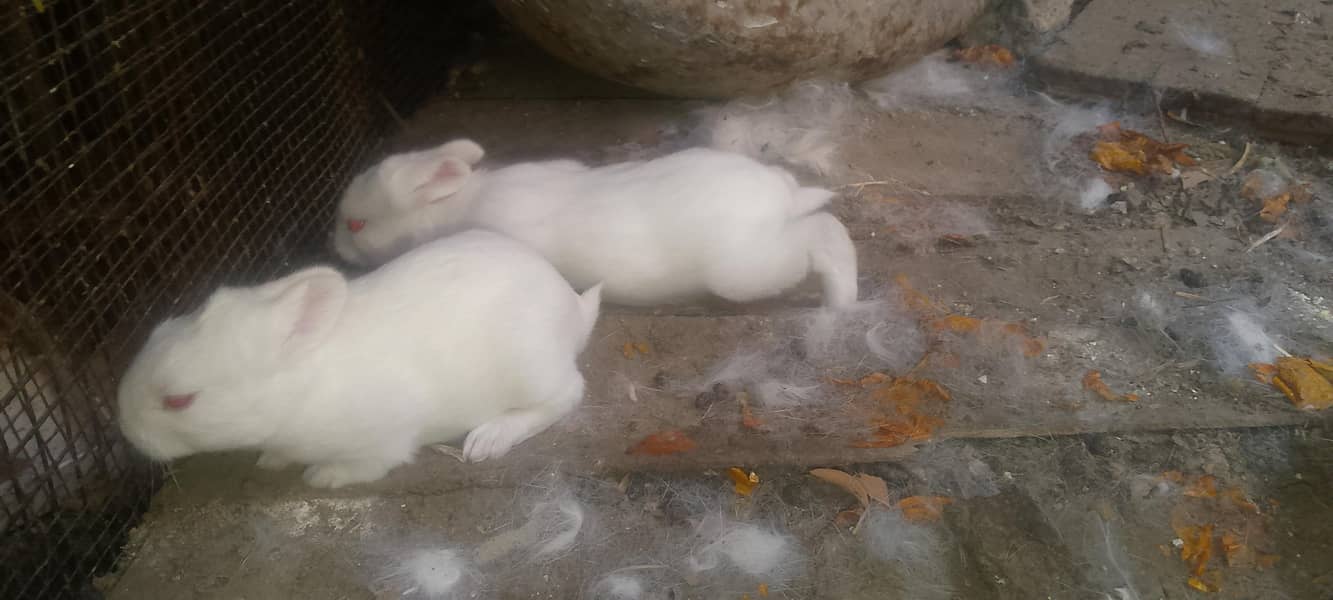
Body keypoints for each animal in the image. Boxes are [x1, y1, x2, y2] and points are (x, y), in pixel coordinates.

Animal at [116, 230, 602, 489]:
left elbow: (367, 464)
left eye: (179, 400)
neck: (300, 392)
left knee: (567, 395)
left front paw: (321, 476)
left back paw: (489, 438)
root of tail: (571, 306)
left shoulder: (386, 438)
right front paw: (272, 461)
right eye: (156, 332)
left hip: (531, 366)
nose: (126, 428)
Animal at [332, 139, 858, 309]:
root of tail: (779, 196)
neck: (456, 208)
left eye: (356, 225)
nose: (336, 247)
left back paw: (841, 300)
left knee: (826, 236)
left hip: (745, 270)